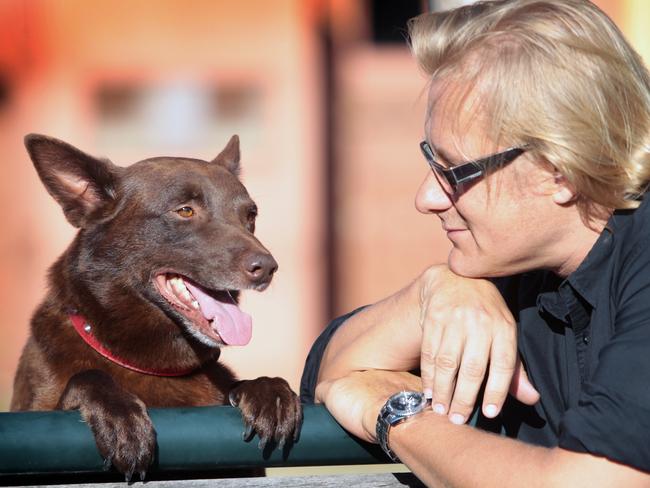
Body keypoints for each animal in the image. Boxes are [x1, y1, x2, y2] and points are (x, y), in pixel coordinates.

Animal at [10, 133, 302, 480]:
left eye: (250, 217)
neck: (154, 365)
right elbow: (87, 377)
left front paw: (270, 393)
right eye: (185, 211)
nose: (267, 268)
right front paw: (120, 416)